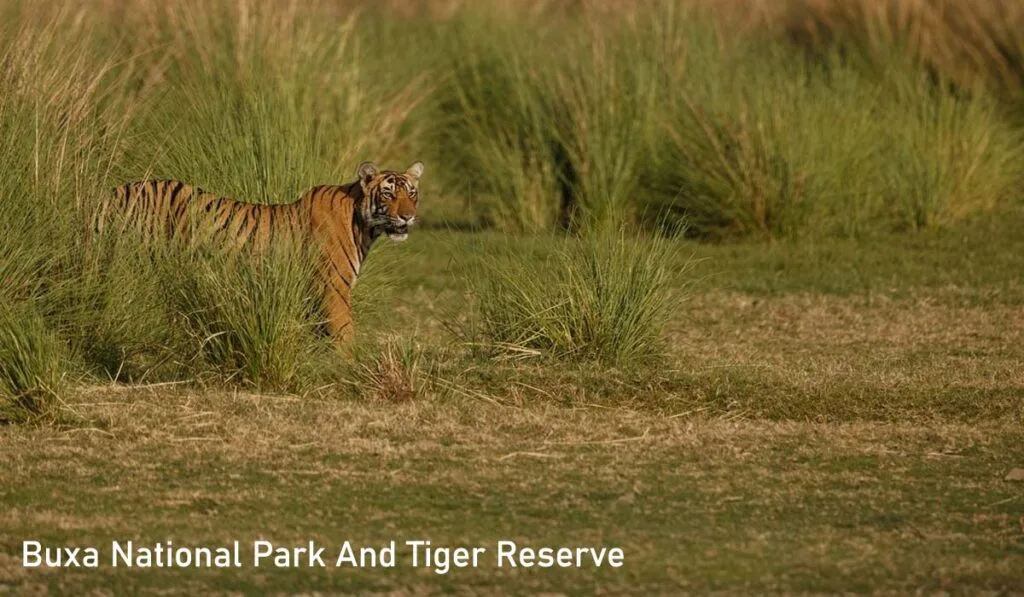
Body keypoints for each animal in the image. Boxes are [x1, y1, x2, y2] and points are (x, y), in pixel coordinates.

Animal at [92, 161, 424, 345]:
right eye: (388, 194)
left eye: (412, 194)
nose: (408, 217)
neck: (363, 225)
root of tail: (112, 193)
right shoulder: (333, 289)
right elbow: (345, 334)